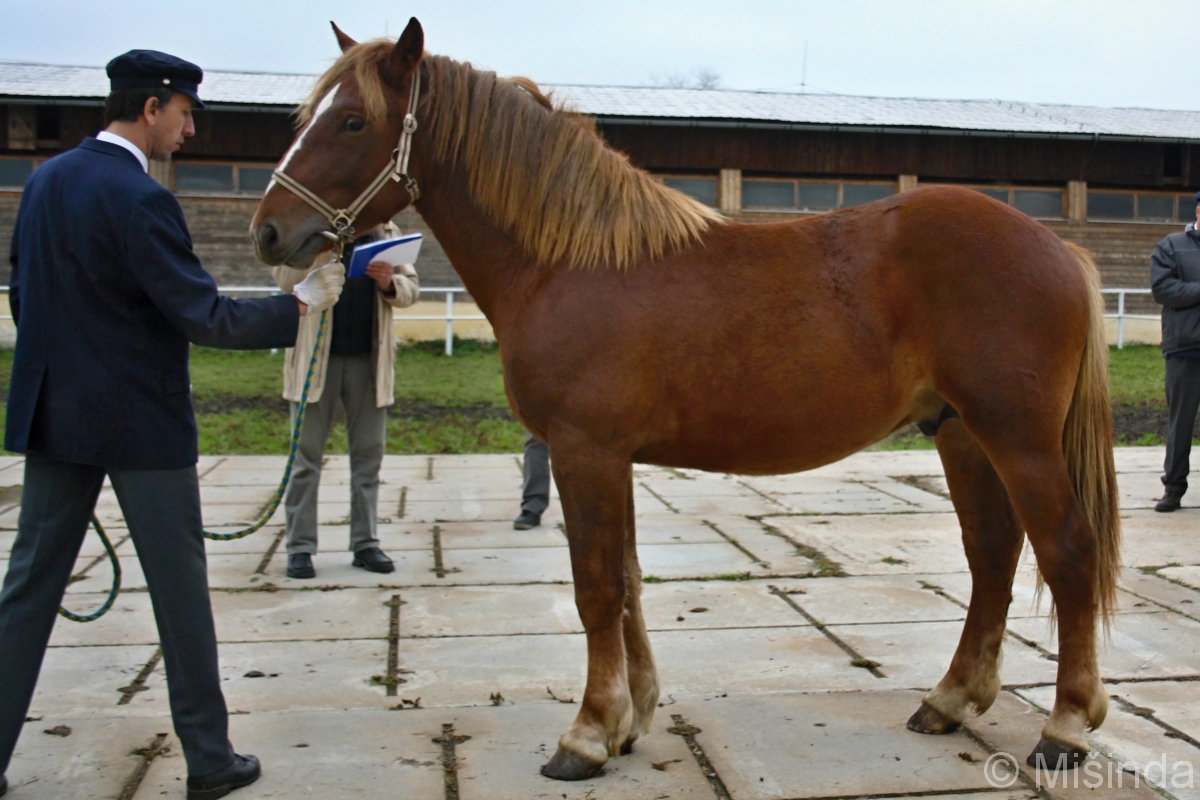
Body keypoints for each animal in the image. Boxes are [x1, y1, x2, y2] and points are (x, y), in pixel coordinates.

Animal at [248, 17, 1118, 782]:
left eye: (353, 120)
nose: (268, 234)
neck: (570, 261)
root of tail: (1057, 246)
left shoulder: (585, 450)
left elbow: (597, 587)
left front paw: (587, 736)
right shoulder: (610, 457)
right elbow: (628, 581)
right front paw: (630, 719)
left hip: (1018, 439)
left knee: (1066, 554)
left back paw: (1065, 728)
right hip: (962, 433)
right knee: (992, 554)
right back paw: (950, 700)